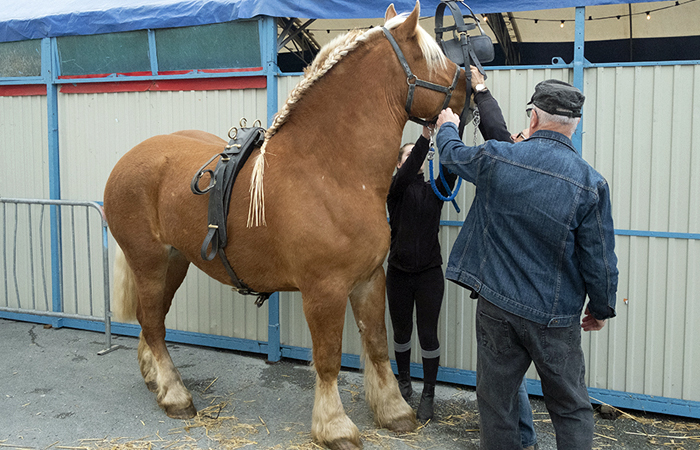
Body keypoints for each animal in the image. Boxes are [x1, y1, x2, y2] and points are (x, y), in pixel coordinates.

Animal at [103, 2, 467, 449]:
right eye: (433, 58)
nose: (472, 87)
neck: (329, 170)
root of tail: (128, 159)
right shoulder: (324, 290)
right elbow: (328, 360)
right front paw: (335, 427)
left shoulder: (369, 280)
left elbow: (378, 345)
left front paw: (394, 411)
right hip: (150, 262)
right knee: (154, 323)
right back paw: (174, 395)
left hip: (175, 262)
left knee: (147, 318)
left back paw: (154, 378)